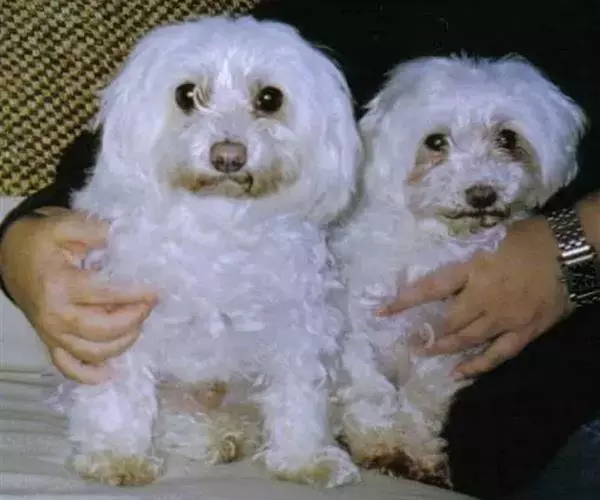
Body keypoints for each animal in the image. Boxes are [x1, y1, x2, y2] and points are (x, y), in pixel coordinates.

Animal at [61, 15, 362, 488]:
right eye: (186, 94)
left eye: (270, 98)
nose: (228, 156)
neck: (220, 221)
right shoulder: (121, 321)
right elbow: (120, 396)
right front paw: (117, 456)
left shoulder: (298, 325)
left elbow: (298, 396)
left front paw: (305, 459)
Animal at [333, 55, 586, 486]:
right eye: (435, 142)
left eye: (507, 138)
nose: (482, 193)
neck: (437, 243)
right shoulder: (356, 326)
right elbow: (369, 389)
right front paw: (379, 443)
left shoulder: (451, 338)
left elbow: (424, 395)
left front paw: (418, 451)